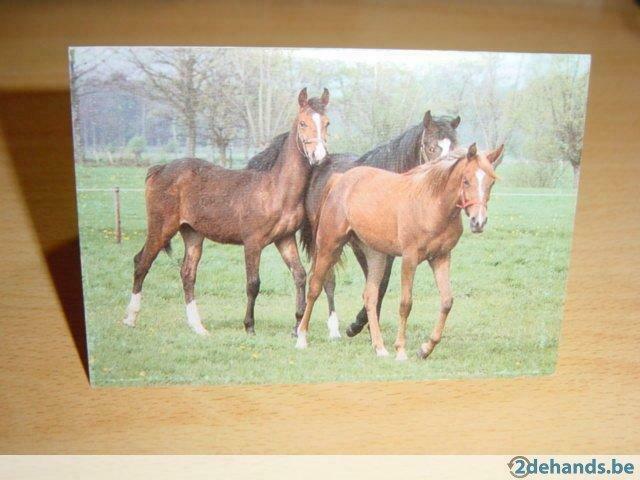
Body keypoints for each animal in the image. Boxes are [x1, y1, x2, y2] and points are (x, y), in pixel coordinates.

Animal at [123, 88, 331, 335]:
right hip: (161, 228)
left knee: (187, 274)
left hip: (192, 234)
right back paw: (130, 318)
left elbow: (299, 276)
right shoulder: (253, 243)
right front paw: (249, 326)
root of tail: (159, 169)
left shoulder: (285, 239)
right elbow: (253, 283)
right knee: (142, 263)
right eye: (302, 123)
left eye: (327, 123)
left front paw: (297, 325)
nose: (319, 157)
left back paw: (198, 327)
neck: (276, 189)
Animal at [295, 143, 504, 360]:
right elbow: (406, 304)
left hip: (375, 256)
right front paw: (401, 350)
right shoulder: (409, 259)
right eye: (466, 181)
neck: (431, 204)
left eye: (491, 182)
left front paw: (425, 349)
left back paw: (380, 348)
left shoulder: (441, 257)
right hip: (329, 247)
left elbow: (447, 301)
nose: (478, 222)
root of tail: (339, 180)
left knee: (370, 296)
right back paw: (301, 338)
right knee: (314, 288)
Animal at [300, 111, 461, 339]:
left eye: (455, 148)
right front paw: (358, 325)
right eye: (430, 147)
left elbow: (380, 285)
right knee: (325, 277)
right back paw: (330, 328)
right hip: (326, 241)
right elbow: (377, 285)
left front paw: (367, 326)